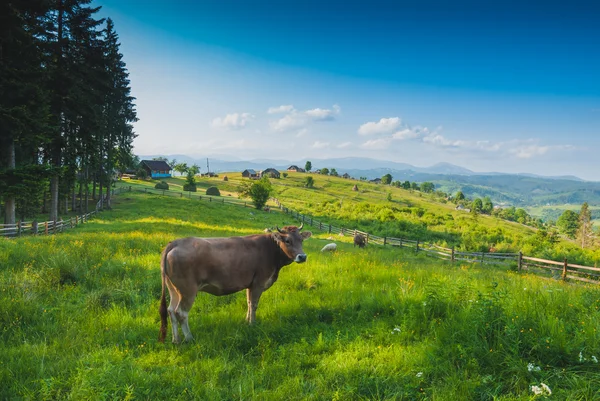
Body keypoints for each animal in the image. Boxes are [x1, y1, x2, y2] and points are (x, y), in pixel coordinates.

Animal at [158, 223, 314, 342]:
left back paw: (176, 340)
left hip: (174, 288)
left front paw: (246, 321)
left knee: (171, 311)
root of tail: (176, 242)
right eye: (287, 240)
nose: (302, 256)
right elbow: (254, 304)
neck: (271, 250)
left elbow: (249, 302)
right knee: (181, 312)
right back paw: (189, 338)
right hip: (188, 290)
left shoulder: (250, 284)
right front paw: (252, 324)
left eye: (301, 240)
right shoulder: (259, 282)